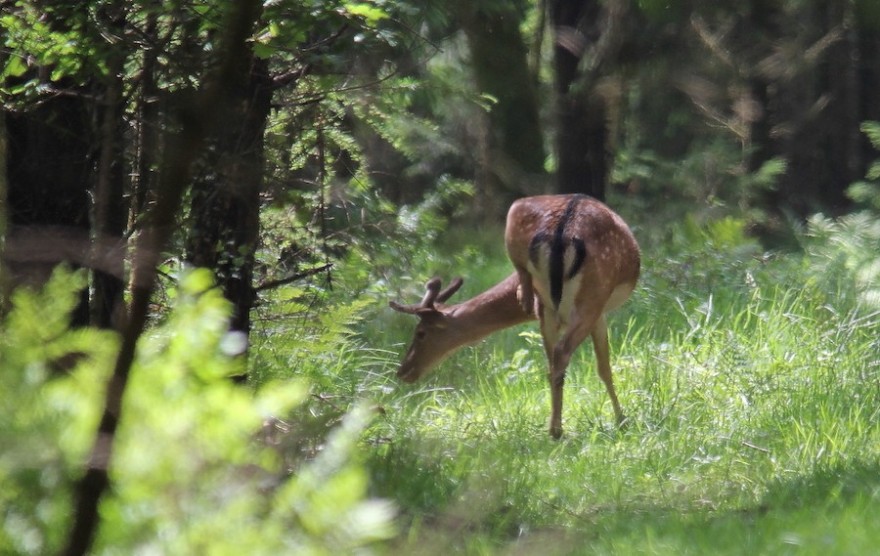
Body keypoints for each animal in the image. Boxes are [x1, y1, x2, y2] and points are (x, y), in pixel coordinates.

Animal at [392, 194, 640, 438]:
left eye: (420, 333)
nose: (402, 371)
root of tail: (562, 234)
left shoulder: (550, 313)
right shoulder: (597, 313)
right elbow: (604, 367)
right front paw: (621, 421)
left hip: (560, 304)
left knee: (552, 362)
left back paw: (554, 428)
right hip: (591, 297)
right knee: (562, 353)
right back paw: (558, 429)